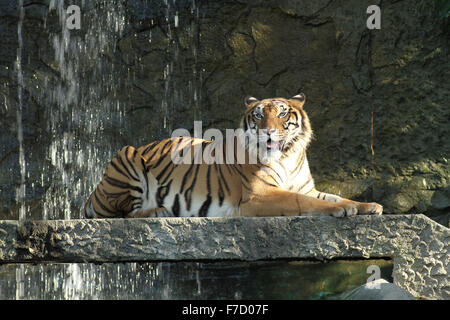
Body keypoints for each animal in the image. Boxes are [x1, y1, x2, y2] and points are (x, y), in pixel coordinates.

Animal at [83, 92, 384, 218]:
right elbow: (304, 203)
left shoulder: (306, 187)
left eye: (282, 114)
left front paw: (368, 206)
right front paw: (341, 210)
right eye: (259, 115)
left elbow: (332, 196)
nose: (268, 132)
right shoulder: (260, 195)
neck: (287, 156)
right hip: (126, 157)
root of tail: (92, 194)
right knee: (122, 215)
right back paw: (157, 211)